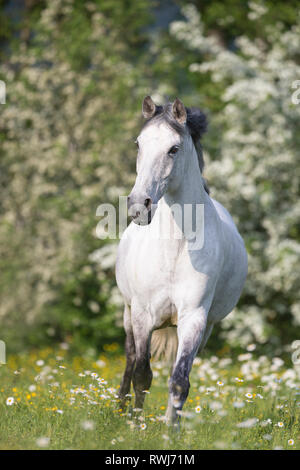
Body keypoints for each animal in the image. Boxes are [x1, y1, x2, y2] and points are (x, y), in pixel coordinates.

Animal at [116, 96, 247, 426]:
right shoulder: (142, 315)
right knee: (129, 360)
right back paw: (120, 410)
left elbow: (179, 381)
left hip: (202, 328)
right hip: (128, 313)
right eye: (138, 144)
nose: (138, 207)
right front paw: (134, 426)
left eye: (173, 149)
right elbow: (141, 374)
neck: (175, 249)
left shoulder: (194, 318)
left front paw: (169, 430)